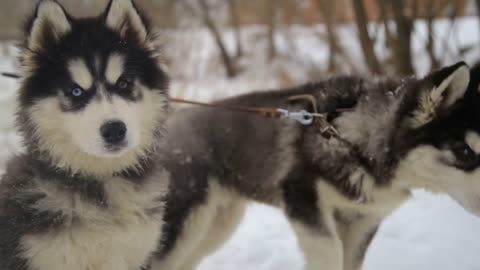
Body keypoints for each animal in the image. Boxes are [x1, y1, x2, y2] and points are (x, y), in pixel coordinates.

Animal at [152, 61, 478, 270]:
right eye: (463, 151)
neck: (353, 143)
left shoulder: (364, 221)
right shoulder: (305, 202)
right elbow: (330, 254)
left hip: (218, 225)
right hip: (186, 224)